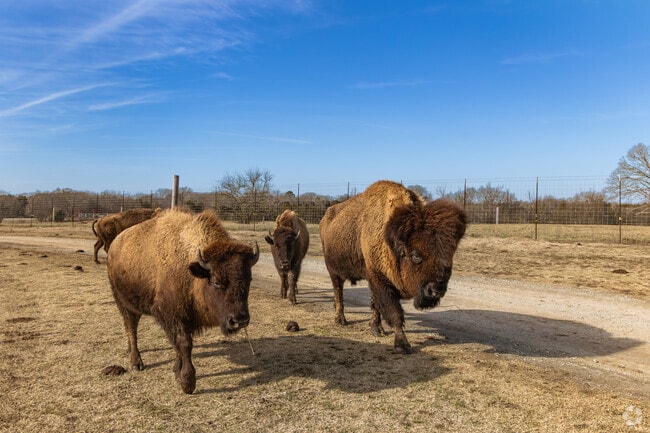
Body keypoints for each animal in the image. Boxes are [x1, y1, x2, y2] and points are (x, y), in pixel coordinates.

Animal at [106, 209, 259, 394]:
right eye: (216, 281)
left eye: (249, 279)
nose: (239, 320)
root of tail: (114, 245)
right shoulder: (172, 316)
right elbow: (184, 344)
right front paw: (187, 382)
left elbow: (178, 346)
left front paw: (176, 371)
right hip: (124, 303)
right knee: (131, 328)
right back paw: (136, 363)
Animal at [319, 180, 466, 353]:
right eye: (416, 255)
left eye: (450, 254)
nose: (436, 290)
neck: (390, 241)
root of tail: (325, 217)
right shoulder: (380, 280)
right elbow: (394, 312)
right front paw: (402, 345)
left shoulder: (373, 279)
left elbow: (376, 305)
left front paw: (377, 329)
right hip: (333, 271)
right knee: (338, 292)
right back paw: (340, 319)